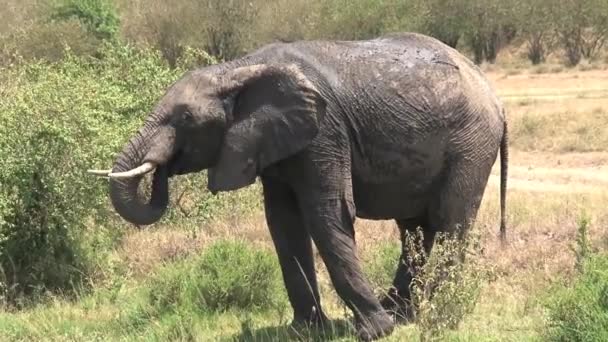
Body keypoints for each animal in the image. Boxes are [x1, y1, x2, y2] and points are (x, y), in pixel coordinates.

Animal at [89, 32, 508, 342]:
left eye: (186, 119)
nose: (163, 167)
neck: (237, 69)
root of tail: (495, 97)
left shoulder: (324, 131)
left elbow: (326, 214)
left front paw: (375, 332)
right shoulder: (273, 141)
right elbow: (282, 222)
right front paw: (305, 331)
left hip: (471, 144)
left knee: (450, 222)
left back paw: (432, 315)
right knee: (415, 230)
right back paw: (402, 312)